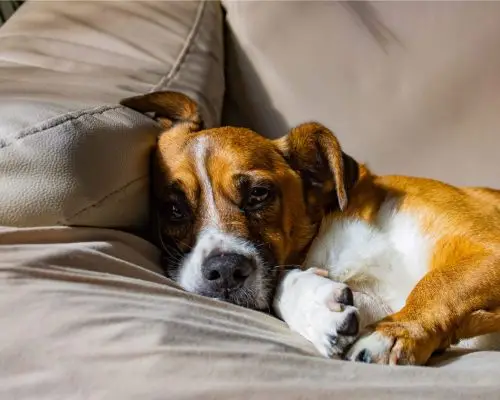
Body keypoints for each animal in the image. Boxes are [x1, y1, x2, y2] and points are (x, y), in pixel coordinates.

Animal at [120, 90, 500, 366]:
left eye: (259, 194)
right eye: (174, 209)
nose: (225, 271)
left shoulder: (487, 248)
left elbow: (439, 281)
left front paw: (398, 332)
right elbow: (282, 284)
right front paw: (316, 309)